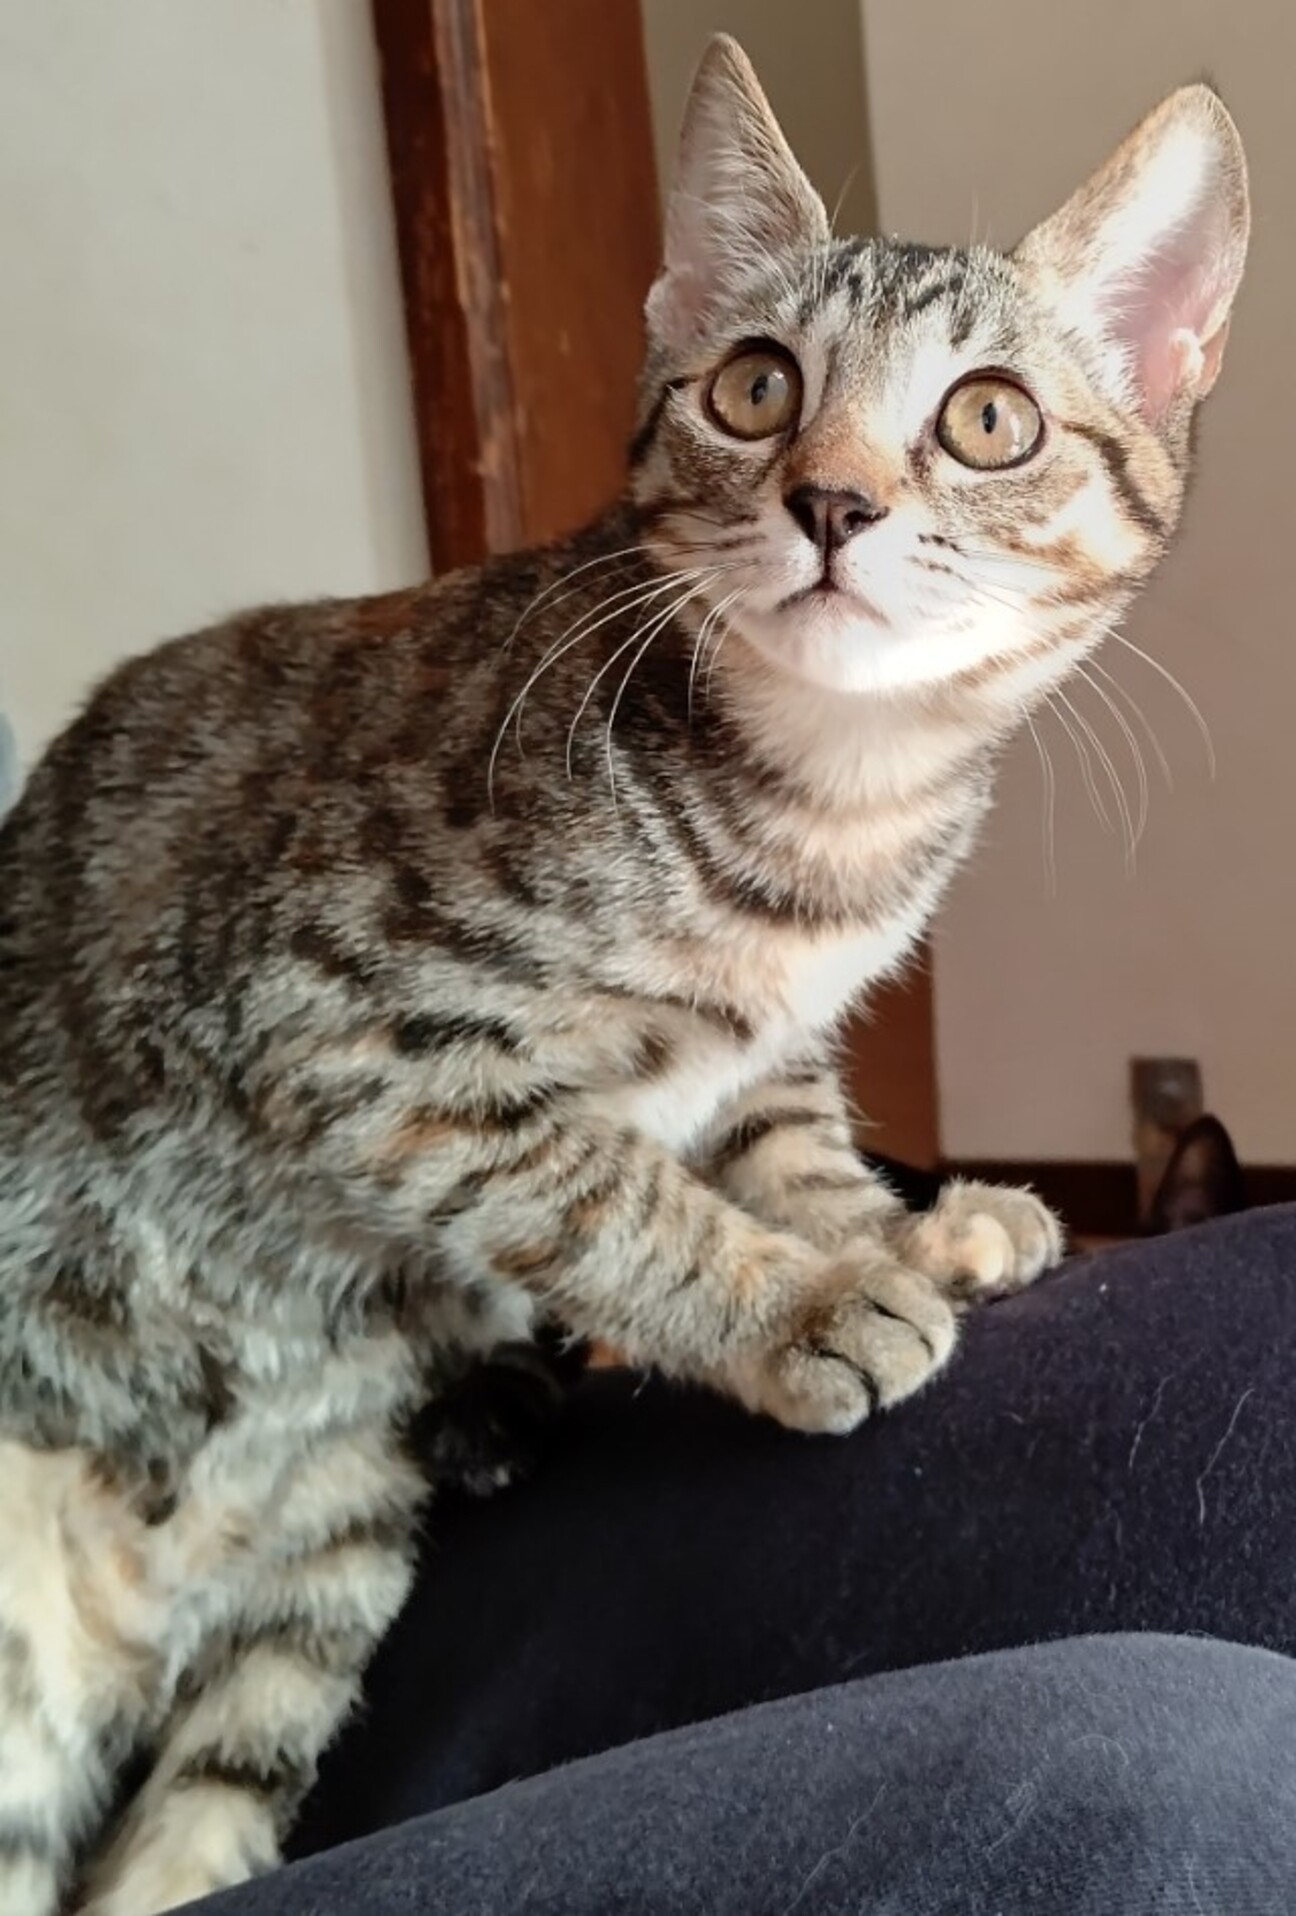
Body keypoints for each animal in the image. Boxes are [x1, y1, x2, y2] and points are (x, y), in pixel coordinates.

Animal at [0, 34, 1248, 1916]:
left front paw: (889, 1230)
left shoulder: (763, 1046)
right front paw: (799, 1302)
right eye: (753, 387)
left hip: (329, 1554)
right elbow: (595, 1184)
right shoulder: (318, 1019)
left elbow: (780, 1138)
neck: (827, 817)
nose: (832, 499)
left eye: (987, 419)